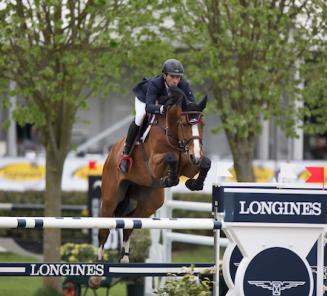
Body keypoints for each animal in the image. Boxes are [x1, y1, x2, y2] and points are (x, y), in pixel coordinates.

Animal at [89, 86, 213, 288]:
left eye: (202, 124)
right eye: (185, 124)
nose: (195, 155)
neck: (173, 134)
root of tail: (111, 153)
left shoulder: (189, 163)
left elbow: (206, 162)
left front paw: (194, 183)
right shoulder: (155, 163)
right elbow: (170, 157)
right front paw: (171, 179)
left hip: (151, 202)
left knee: (129, 223)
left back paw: (125, 261)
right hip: (110, 197)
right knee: (104, 230)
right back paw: (96, 275)